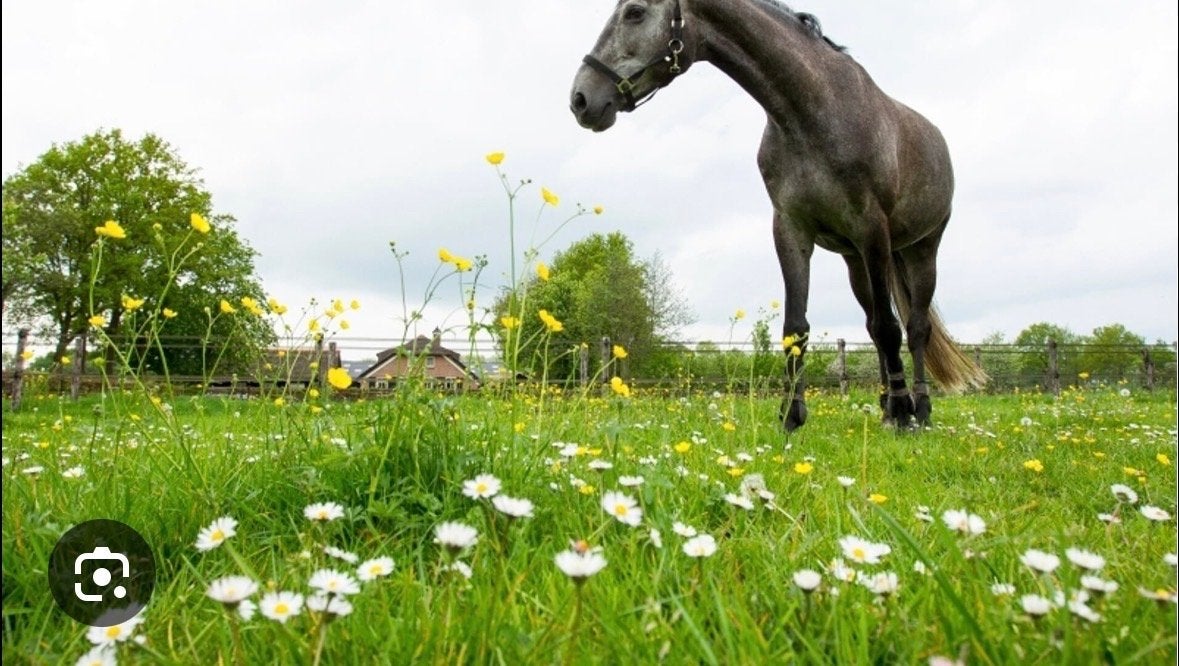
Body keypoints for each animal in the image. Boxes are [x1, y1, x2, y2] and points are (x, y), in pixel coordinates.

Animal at [570, 0, 987, 431]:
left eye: (635, 12)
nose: (581, 98)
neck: (813, 113)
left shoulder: (873, 230)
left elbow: (892, 329)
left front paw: (905, 413)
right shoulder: (791, 229)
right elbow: (797, 327)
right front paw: (792, 415)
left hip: (921, 250)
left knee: (915, 328)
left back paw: (918, 409)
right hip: (855, 261)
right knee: (873, 326)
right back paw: (887, 405)